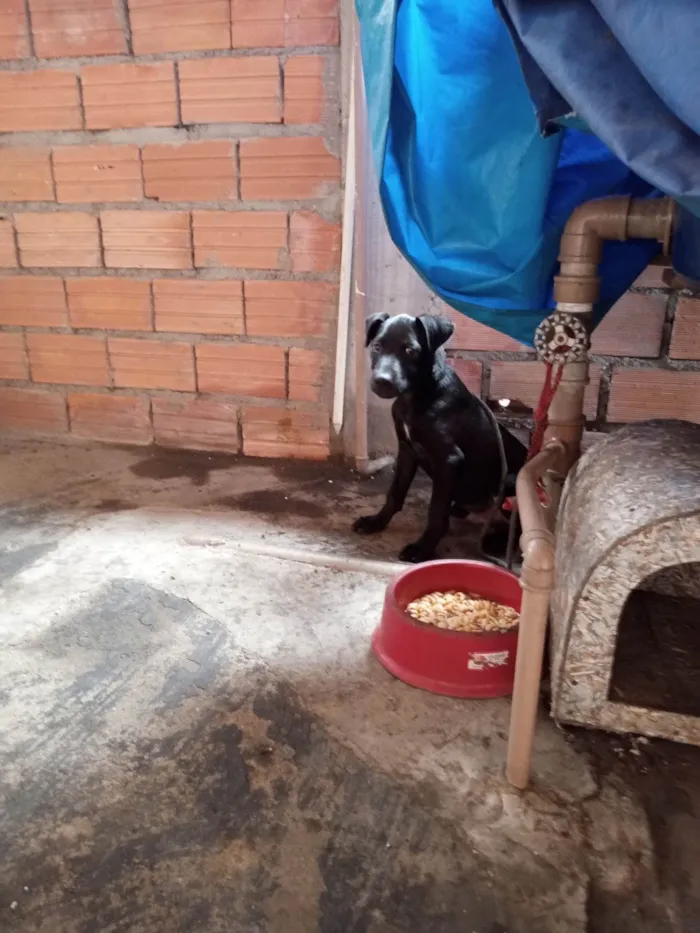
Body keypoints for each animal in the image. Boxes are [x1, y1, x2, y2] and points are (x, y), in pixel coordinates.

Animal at [356, 312, 524, 560]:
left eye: (410, 350)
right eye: (377, 346)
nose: (382, 381)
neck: (417, 397)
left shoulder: (448, 459)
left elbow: (435, 512)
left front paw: (422, 549)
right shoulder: (407, 450)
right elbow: (395, 492)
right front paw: (376, 522)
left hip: (510, 481)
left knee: (518, 530)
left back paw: (495, 542)